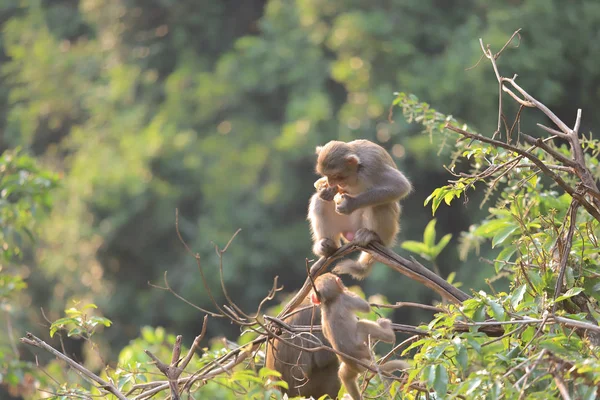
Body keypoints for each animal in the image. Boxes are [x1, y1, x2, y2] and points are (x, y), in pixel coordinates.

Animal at [308, 139, 410, 280]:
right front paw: (327, 191)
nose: (332, 183)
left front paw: (350, 204)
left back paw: (373, 236)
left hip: (383, 233)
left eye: (337, 175)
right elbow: (323, 190)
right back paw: (327, 246)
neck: (357, 172)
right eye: (327, 175)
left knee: (380, 204)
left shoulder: (373, 167)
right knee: (319, 202)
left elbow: (401, 185)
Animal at [310, 272, 408, 400]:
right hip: (364, 349)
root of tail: (358, 361)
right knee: (362, 325)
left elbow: (325, 333)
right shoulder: (346, 297)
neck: (330, 301)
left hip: (351, 366)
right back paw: (389, 334)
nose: (343, 284)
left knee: (344, 375)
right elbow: (365, 307)